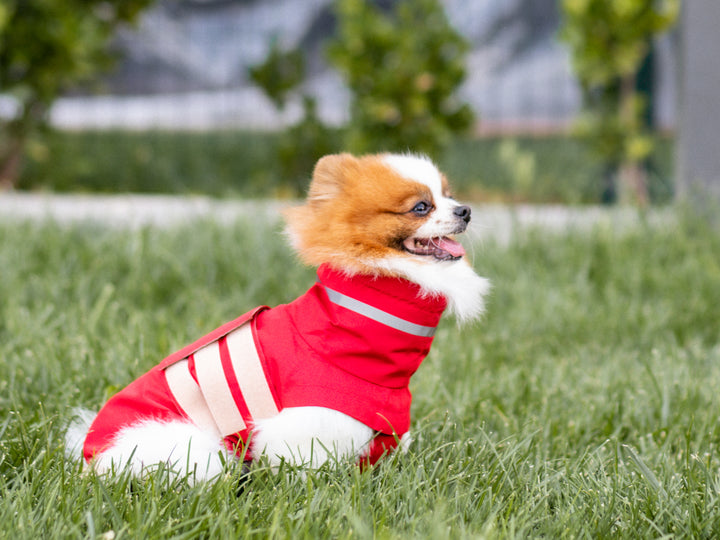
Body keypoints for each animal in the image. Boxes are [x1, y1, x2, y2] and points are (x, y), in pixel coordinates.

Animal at [67, 152, 492, 480]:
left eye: (448, 194)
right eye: (421, 207)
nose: (466, 210)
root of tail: (89, 453)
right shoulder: (312, 417)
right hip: (187, 444)